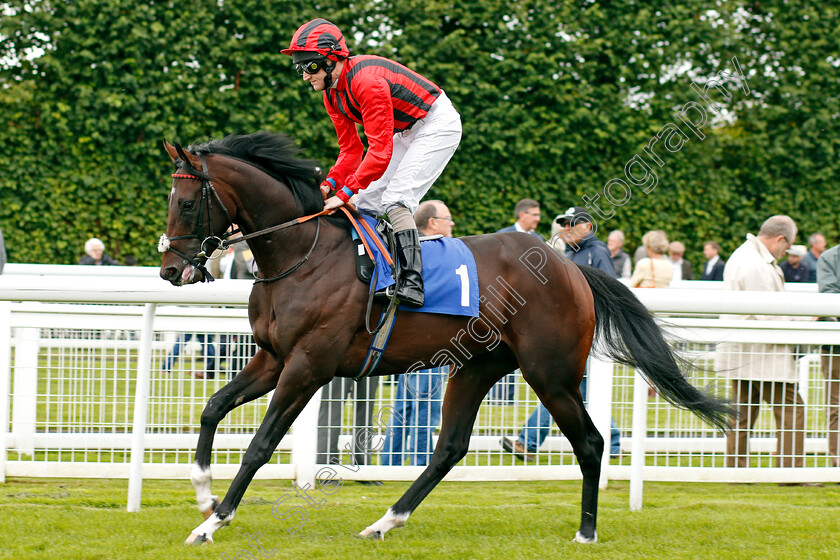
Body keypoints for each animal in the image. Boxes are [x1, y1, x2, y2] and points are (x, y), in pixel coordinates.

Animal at [159, 130, 736, 544]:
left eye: (186, 203)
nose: (169, 269)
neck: (304, 253)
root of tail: (571, 268)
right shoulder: (274, 357)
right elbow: (212, 407)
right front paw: (203, 493)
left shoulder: (308, 366)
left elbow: (260, 445)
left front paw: (212, 522)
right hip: (477, 365)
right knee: (449, 447)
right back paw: (385, 522)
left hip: (550, 372)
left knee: (589, 442)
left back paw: (586, 531)